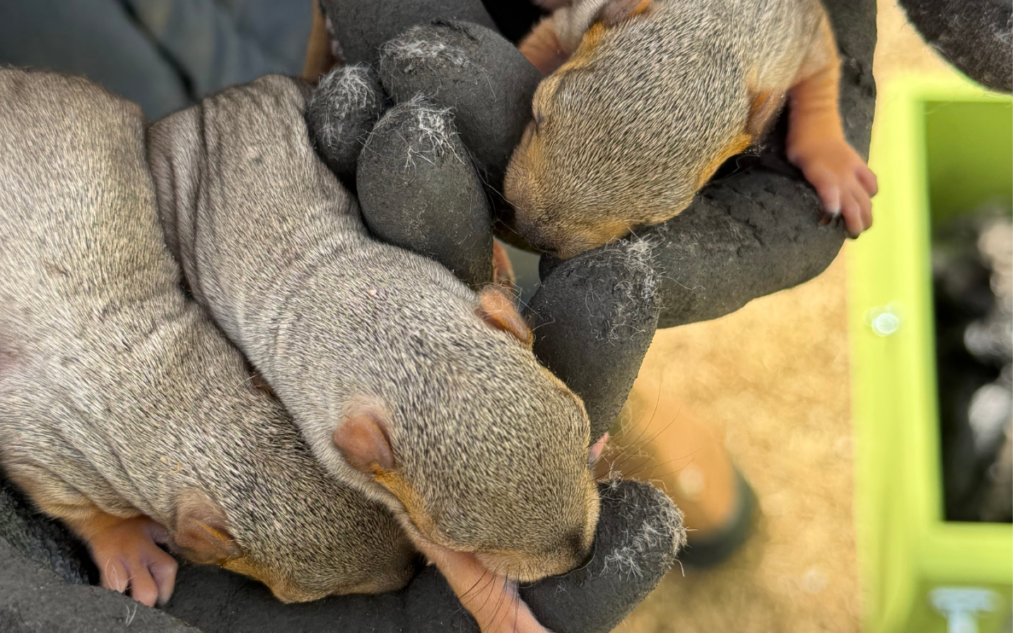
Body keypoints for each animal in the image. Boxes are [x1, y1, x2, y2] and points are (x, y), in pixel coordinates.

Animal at [0, 68, 416, 607]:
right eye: (306, 598)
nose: (414, 568)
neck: (167, 395)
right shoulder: (43, 446)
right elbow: (79, 509)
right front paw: (127, 546)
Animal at [507, 0, 879, 260]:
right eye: (537, 115)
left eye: (648, 222)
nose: (533, 233)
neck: (721, 23)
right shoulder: (578, 19)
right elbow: (546, 37)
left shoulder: (796, 36)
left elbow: (821, 74)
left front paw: (835, 168)